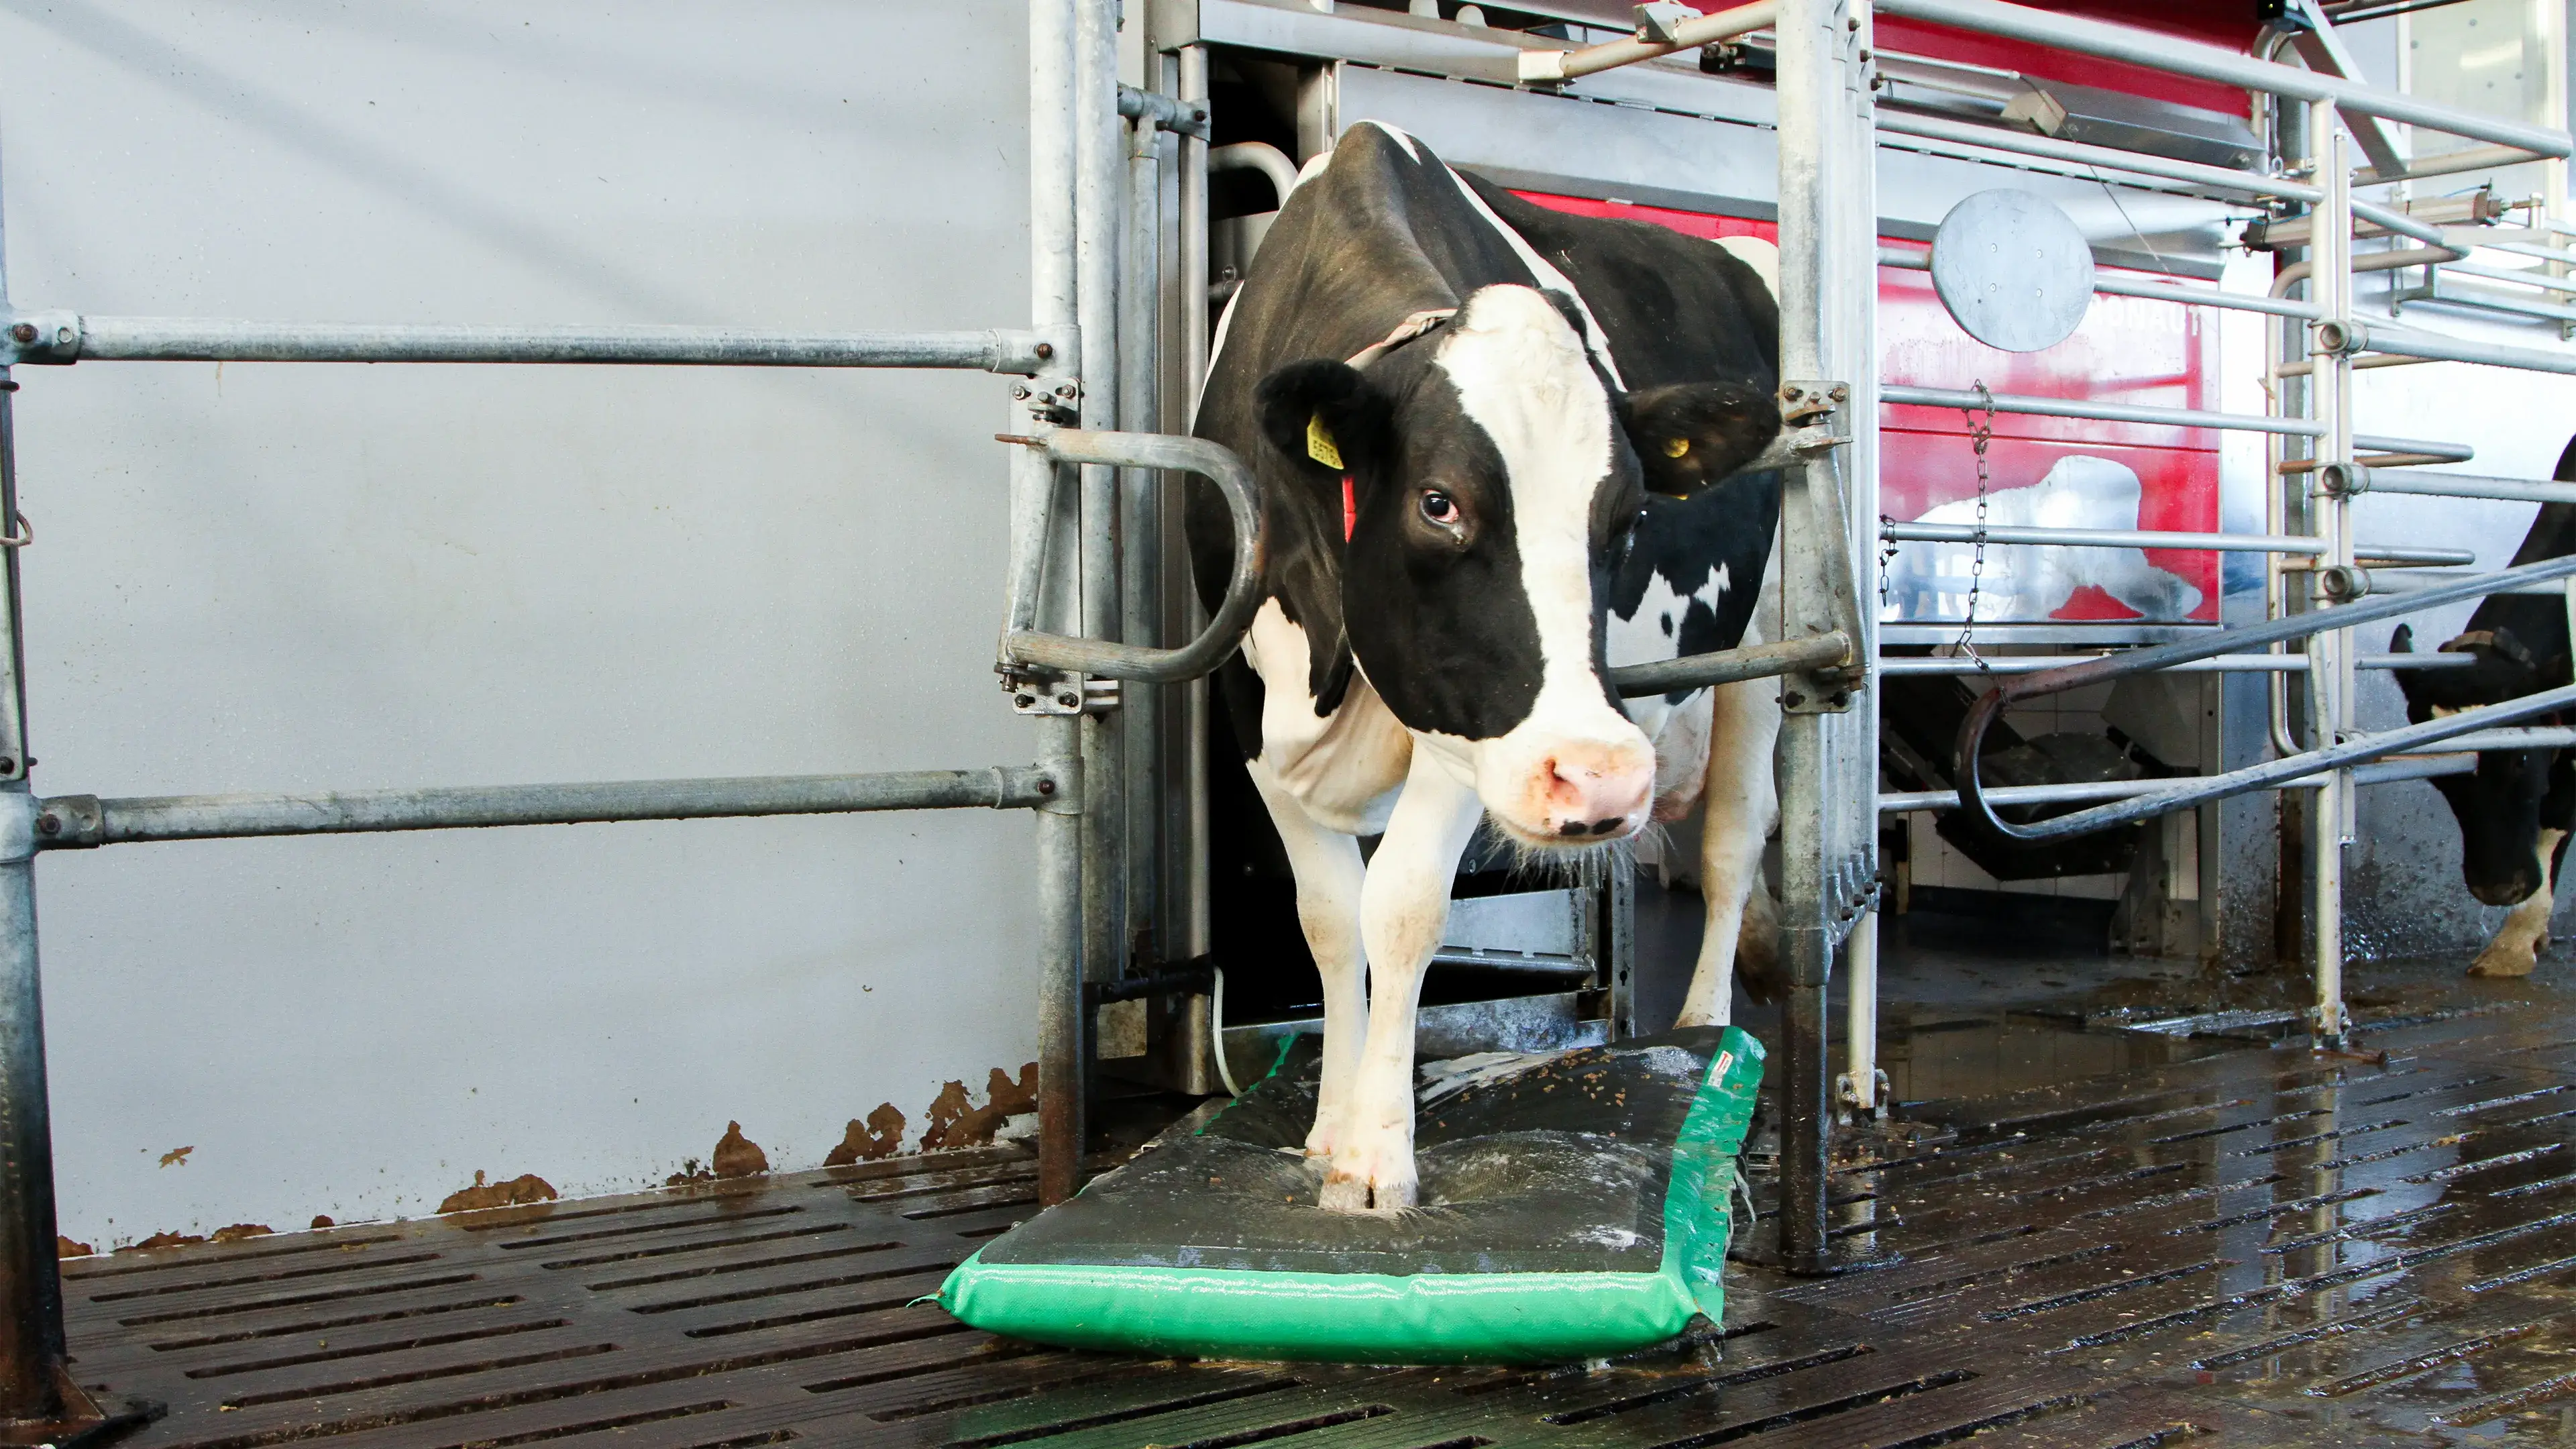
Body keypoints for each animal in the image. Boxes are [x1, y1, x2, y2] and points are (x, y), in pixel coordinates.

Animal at [1187, 121, 1787, 1212]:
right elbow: (1328, 920)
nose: (1602, 778)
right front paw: (1329, 1127)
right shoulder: (1247, 711)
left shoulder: (1471, 727)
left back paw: (1703, 1033)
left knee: (1733, 837)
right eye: (1439, 503)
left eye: (1626, 517)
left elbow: (1403, 908)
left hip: (1759, 641)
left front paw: (1377, 1158)